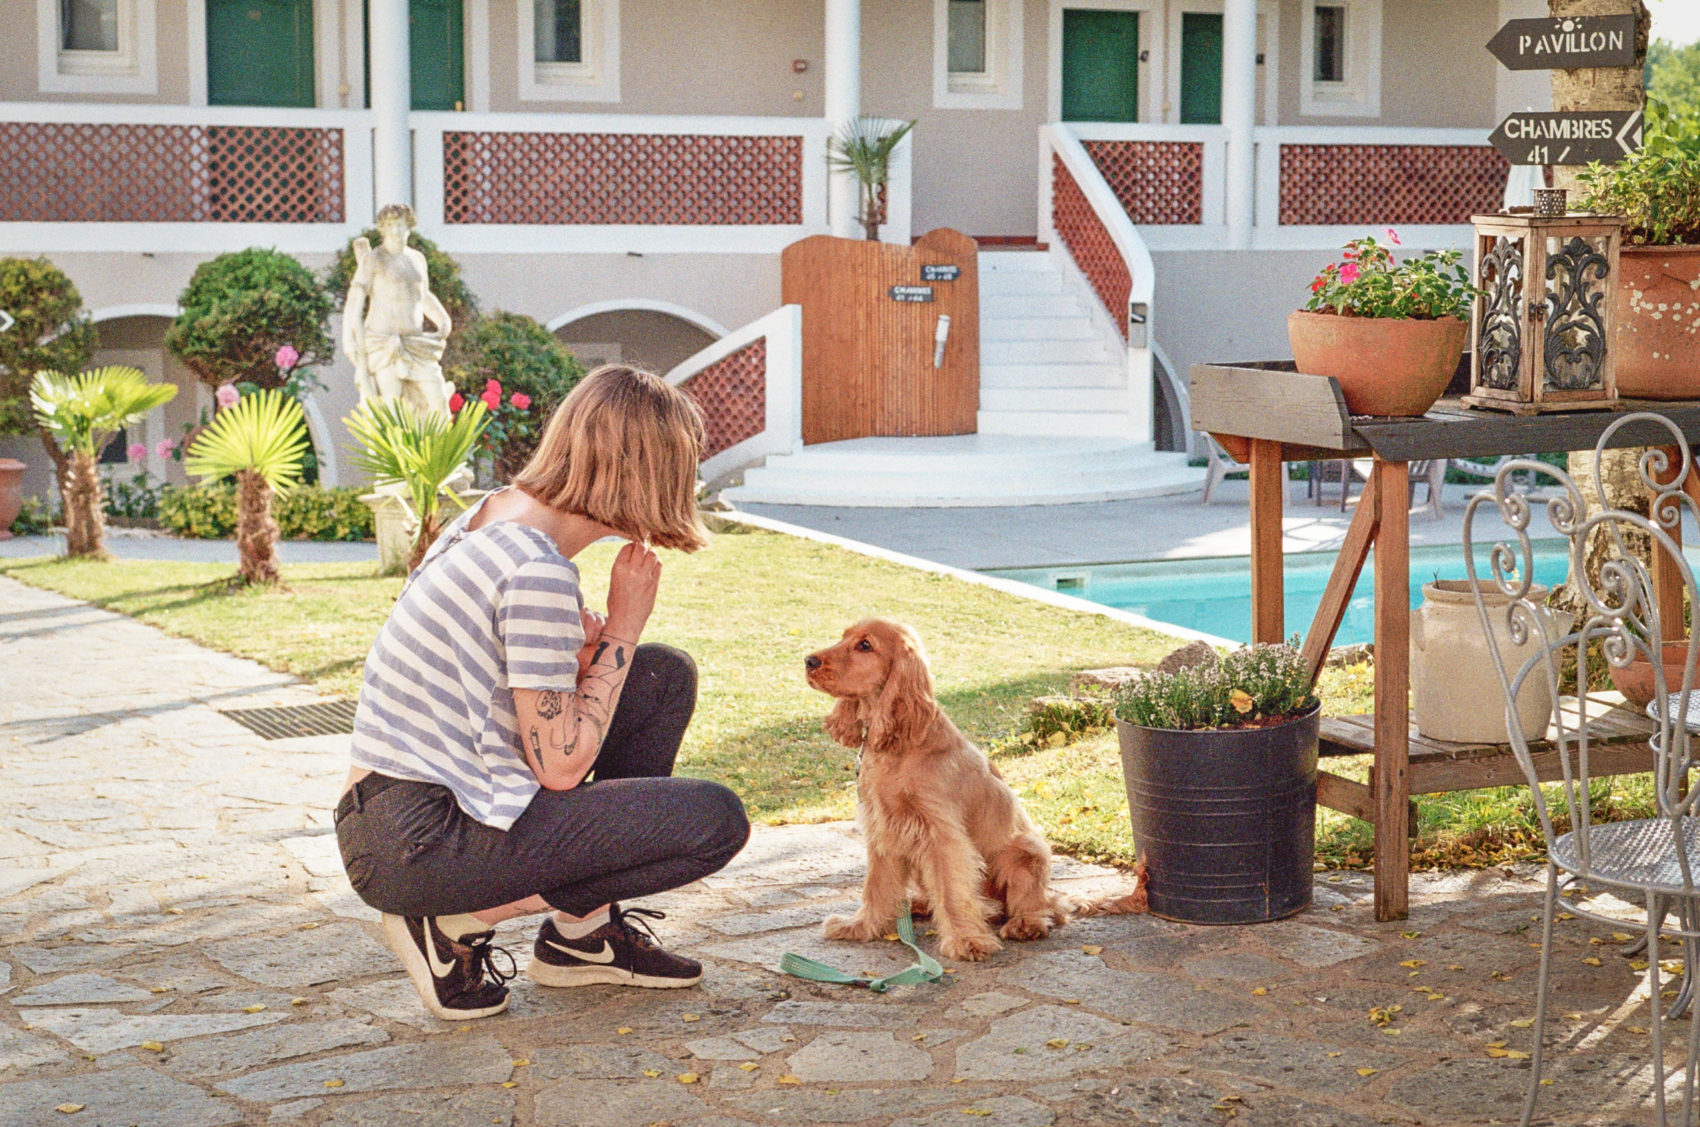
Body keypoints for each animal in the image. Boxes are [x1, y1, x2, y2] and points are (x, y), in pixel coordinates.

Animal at [799, 618, 1142, 958]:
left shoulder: (940, 835)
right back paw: (922, 905)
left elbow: (952, 890)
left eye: (865, 645)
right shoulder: (883, 828)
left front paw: (967, 941)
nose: (809, 661)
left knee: (1044, 906)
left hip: (1027, 852)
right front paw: (860, 927)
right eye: (843, 637)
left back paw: (1025, 923)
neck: (899, 746)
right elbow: (876, 886)